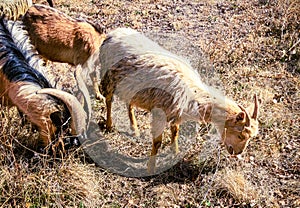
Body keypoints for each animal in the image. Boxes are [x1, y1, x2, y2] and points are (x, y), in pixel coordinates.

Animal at [99, 27, 258, 173]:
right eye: (240, 135)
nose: (237, 153)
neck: (194, 95)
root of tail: (113, 33)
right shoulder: (160, 112)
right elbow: (157, 142)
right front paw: (151, 168)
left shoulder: (175, 112)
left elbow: (175, 131)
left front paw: (174, 151)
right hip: (109, 76)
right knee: (108, 100)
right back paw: (109, 125)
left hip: (130, 86)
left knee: (129, 103)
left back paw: (134, 128)